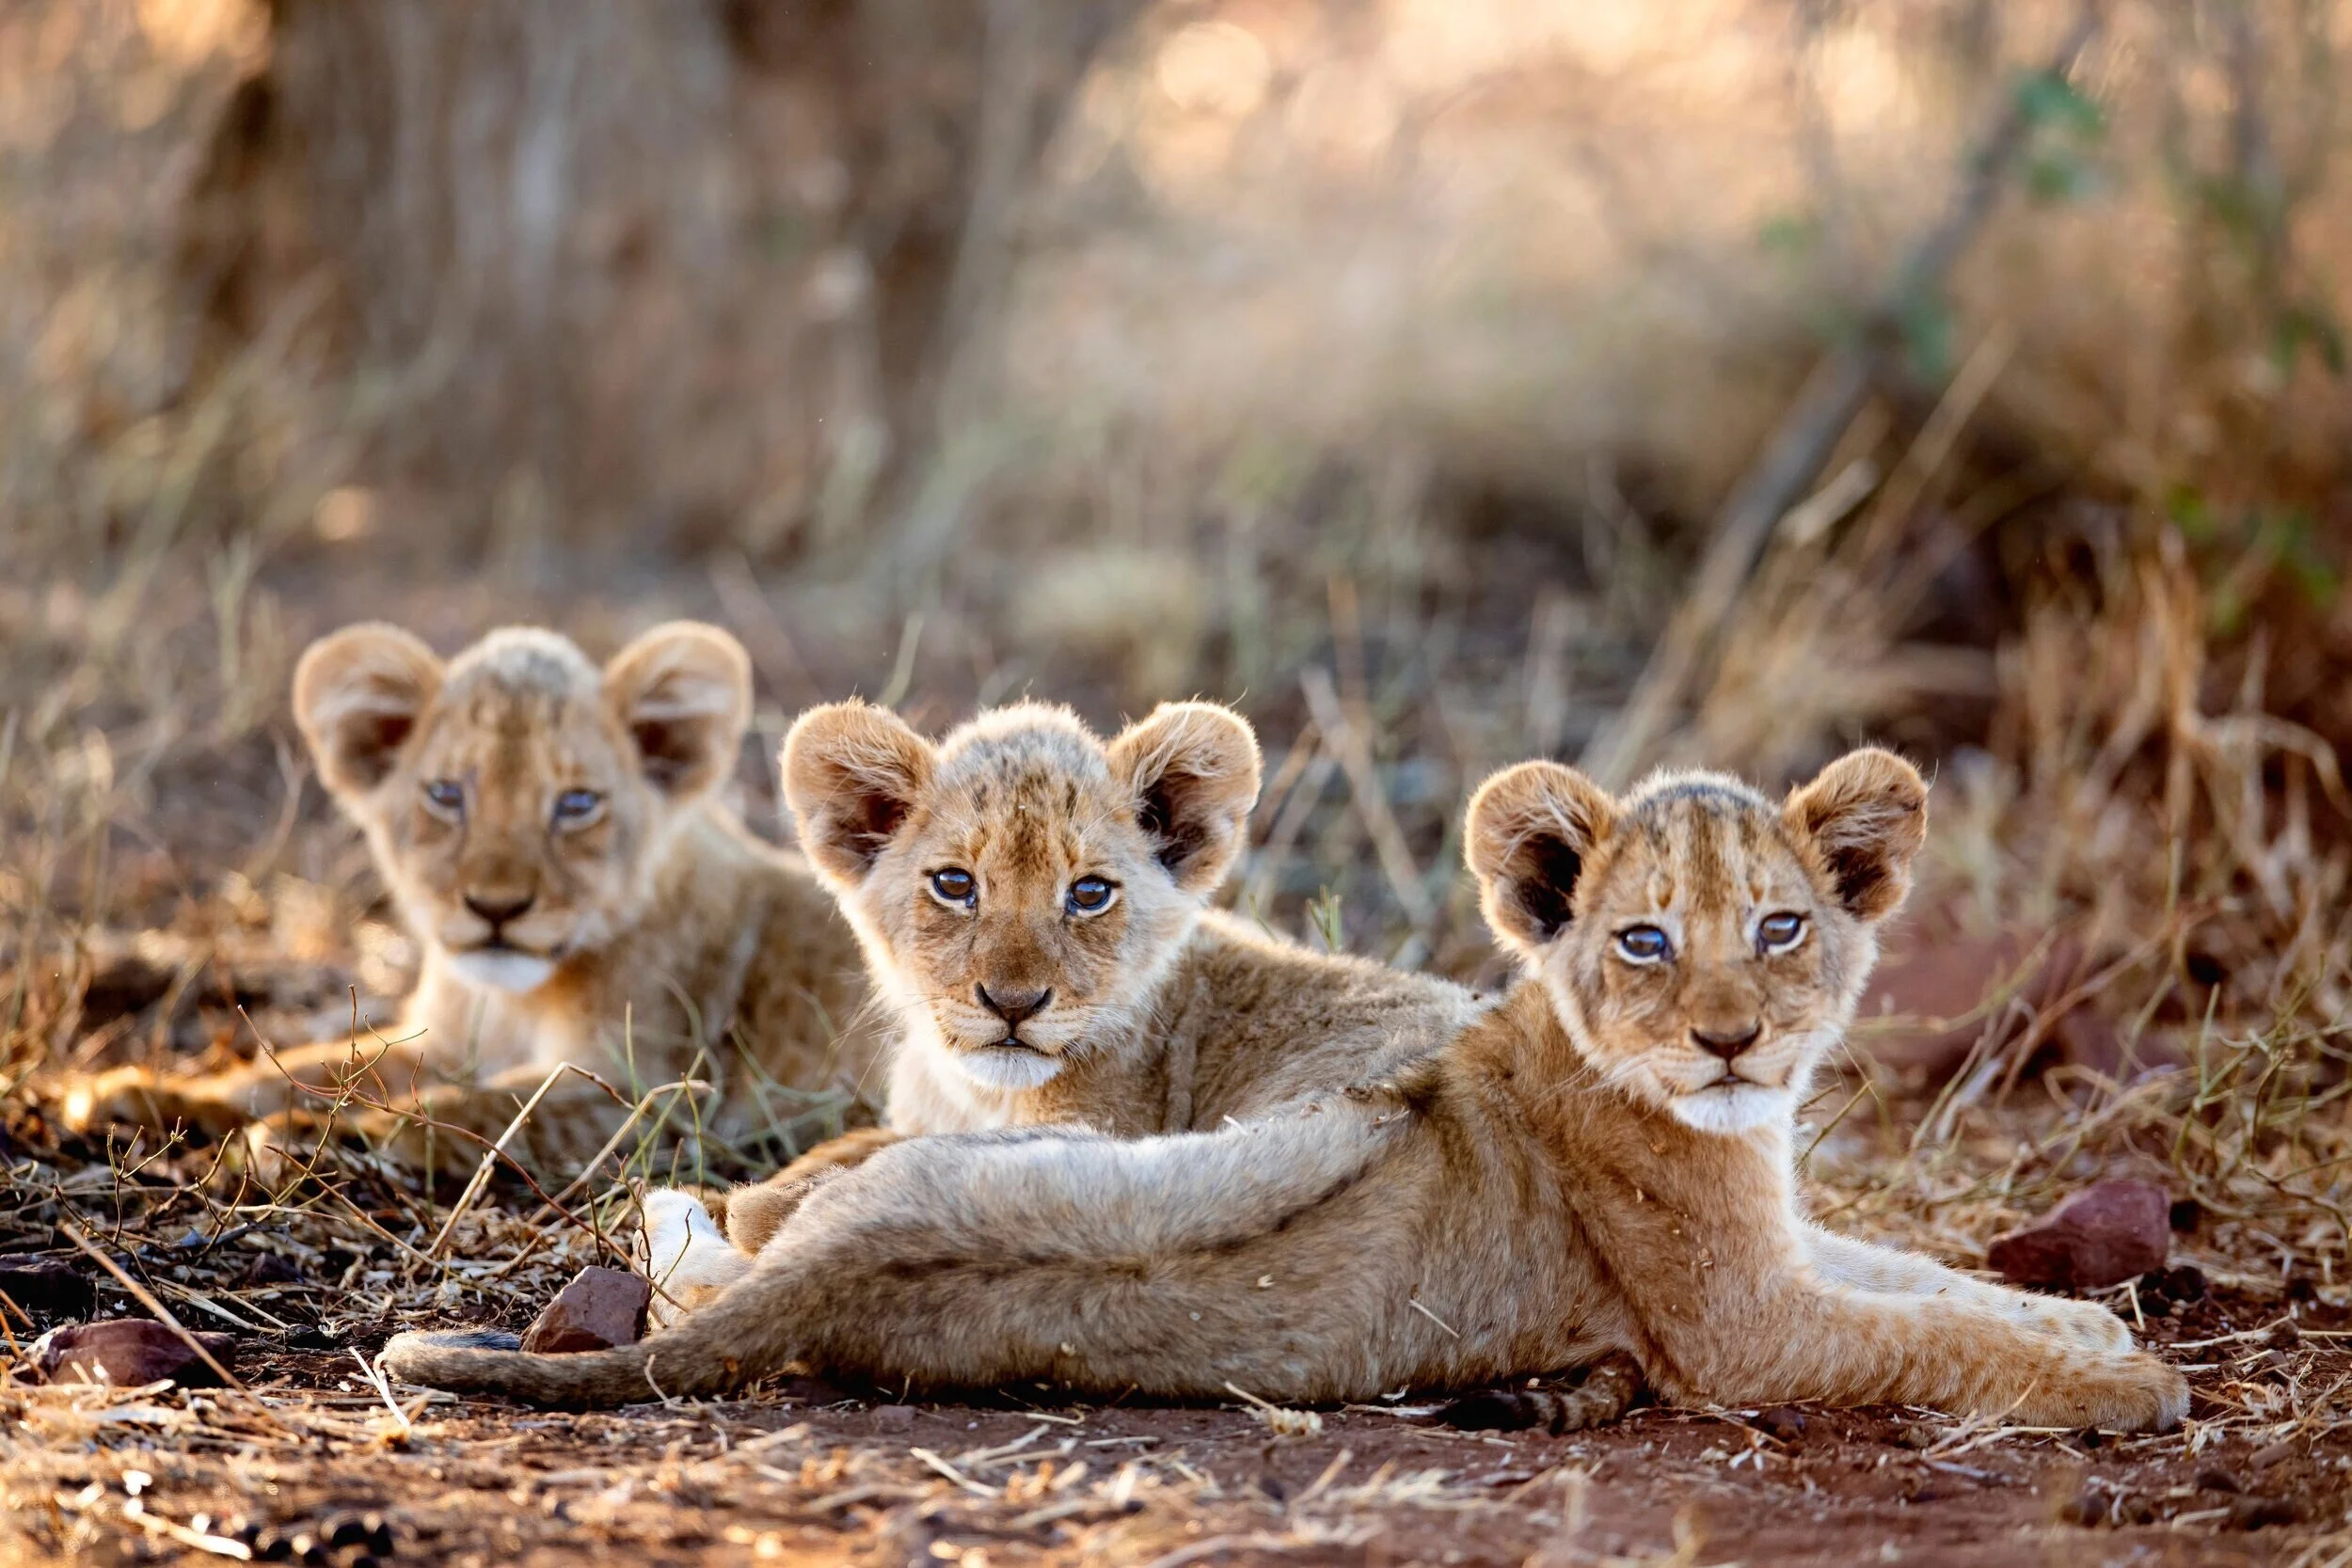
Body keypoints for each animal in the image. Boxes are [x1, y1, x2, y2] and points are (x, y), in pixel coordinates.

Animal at [62, 622, 881, 1177]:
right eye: (446, 794)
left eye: (576, 803)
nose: (496, 908)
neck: (507, 999)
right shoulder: (444, 1043)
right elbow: (299, 1065)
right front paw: (138, 1094)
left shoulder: (660, 1090)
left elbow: (486, 1112)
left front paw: (335, 1135)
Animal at [385, 744, 2187, 1432]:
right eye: (1647, 938)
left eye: (1785, 926)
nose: (1733, 1039)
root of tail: (851, 1280)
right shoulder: (1739, 1327)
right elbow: (1924, 1335)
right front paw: (2127, 1380)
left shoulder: (1790, 1245)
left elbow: (1929, 1276)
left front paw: (2085, 1323)